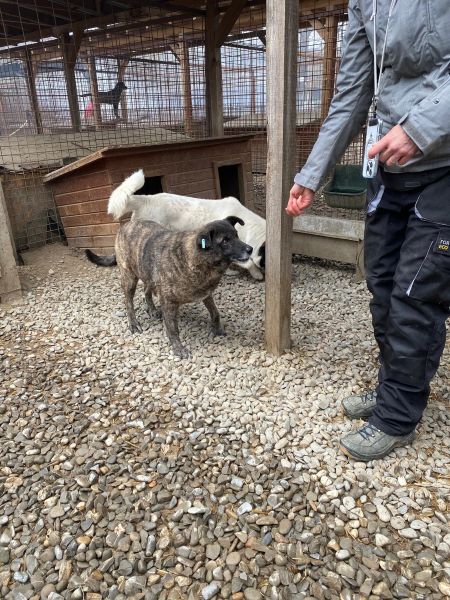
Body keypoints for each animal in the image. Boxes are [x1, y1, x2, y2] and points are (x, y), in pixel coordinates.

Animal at [85, 216, 252, 358]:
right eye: (225, 241)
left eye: (237, 235)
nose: (250, 249)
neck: (193, 257)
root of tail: (125, 225)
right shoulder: (169, 303)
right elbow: (173, 329)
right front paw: (178, 348)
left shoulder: (205, 294)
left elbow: (215, 313)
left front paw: (217, 329)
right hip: (129, 278)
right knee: (128, 302)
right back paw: (133, 323)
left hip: (148, 274)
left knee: (146, 291)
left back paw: (152, 310)